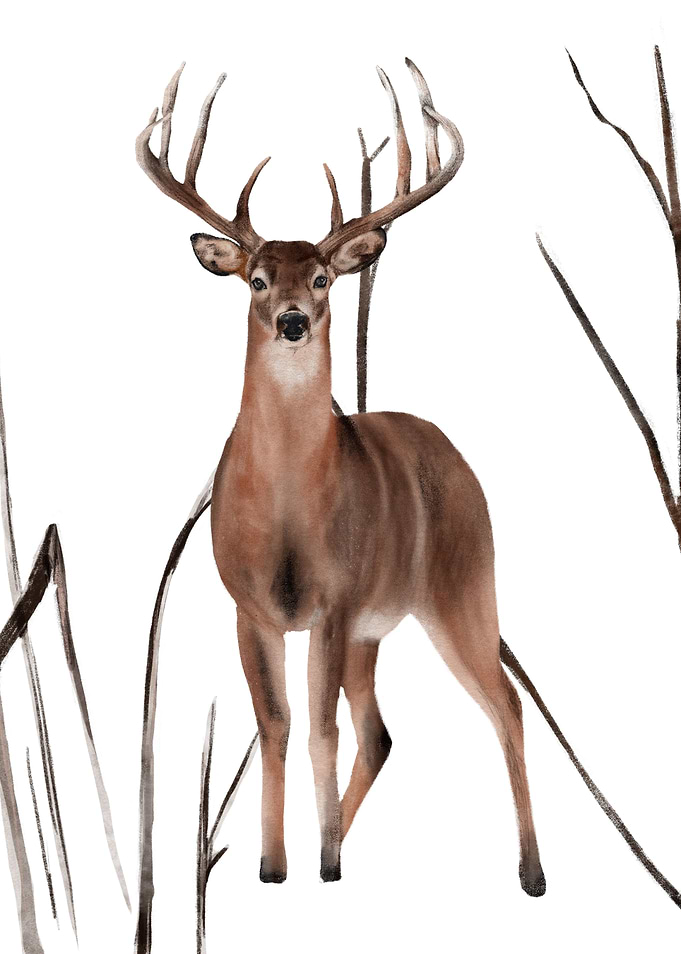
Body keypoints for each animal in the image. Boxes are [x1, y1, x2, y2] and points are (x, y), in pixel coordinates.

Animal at [136, 58, 546, 898]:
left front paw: (311, 859)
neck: (290, 509)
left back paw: (526, 872)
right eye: (257, 279)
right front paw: (273, 865)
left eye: (323, 277)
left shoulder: (334, 598)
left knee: (505, 703)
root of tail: (451, 450)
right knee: (381, 730)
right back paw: (338, 845)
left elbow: (318, 726)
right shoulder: (250, 604)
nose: (293, 319)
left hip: (463, 584)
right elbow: (277, 722)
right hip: (377, 627)